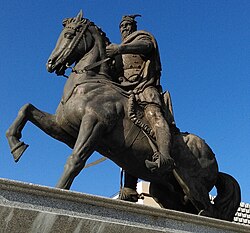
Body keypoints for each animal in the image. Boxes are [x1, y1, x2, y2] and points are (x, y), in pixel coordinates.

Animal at [5, 10, 240, 221]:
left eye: (70, 35)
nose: (51, 63)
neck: (89, 83)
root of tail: (212, 156)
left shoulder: (94, 125)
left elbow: (75, 160)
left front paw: (59, 192)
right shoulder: (65, 129)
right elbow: (26, 109)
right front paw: (16, 144)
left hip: (193, 186)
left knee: (210, 213)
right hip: (167, 190)